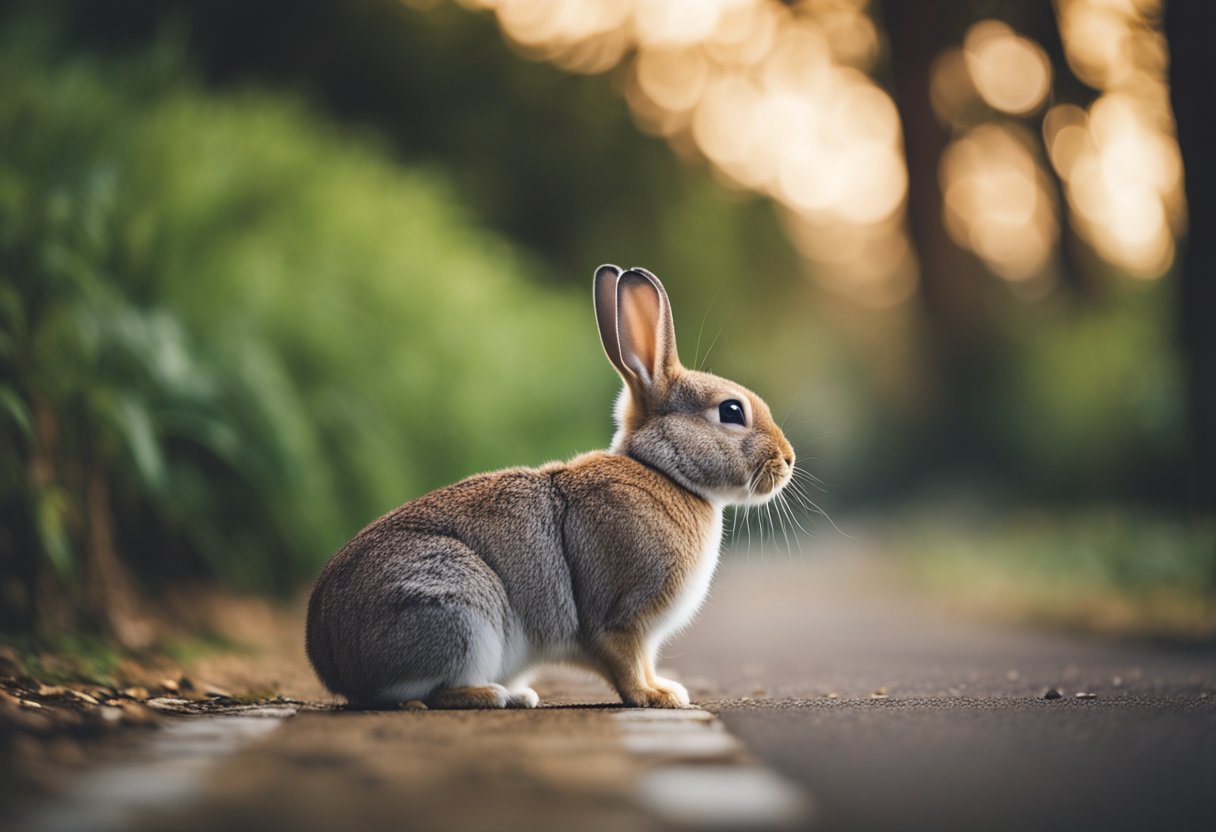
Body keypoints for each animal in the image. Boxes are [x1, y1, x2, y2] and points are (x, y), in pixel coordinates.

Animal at [304, 266, 797, 710]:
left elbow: (644, 662)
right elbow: (626, 663)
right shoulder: (621, 617)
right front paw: (659, 697)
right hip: (458, 609)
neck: (662, 470)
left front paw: (665, 689)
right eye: (731, 411)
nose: (789, 459)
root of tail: (331, 658)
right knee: (421, 693)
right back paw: (495, 695)